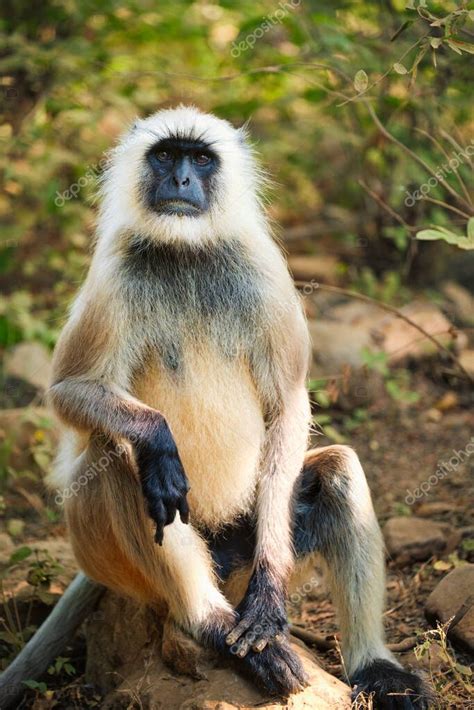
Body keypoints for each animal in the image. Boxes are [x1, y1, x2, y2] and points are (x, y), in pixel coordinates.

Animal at [48, 107, 434, 710]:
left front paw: (270, 598)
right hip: (106, 556)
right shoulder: (113, 276)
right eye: (166, 154)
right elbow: (68, 392)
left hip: (244, 549)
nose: (181, 179)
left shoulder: (264, 271)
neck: (188, 253)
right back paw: (209, 623)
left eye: (202, 159)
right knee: (120, 454)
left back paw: (374, 667)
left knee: (340, 471)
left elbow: (289, 405)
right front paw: (158, 438)